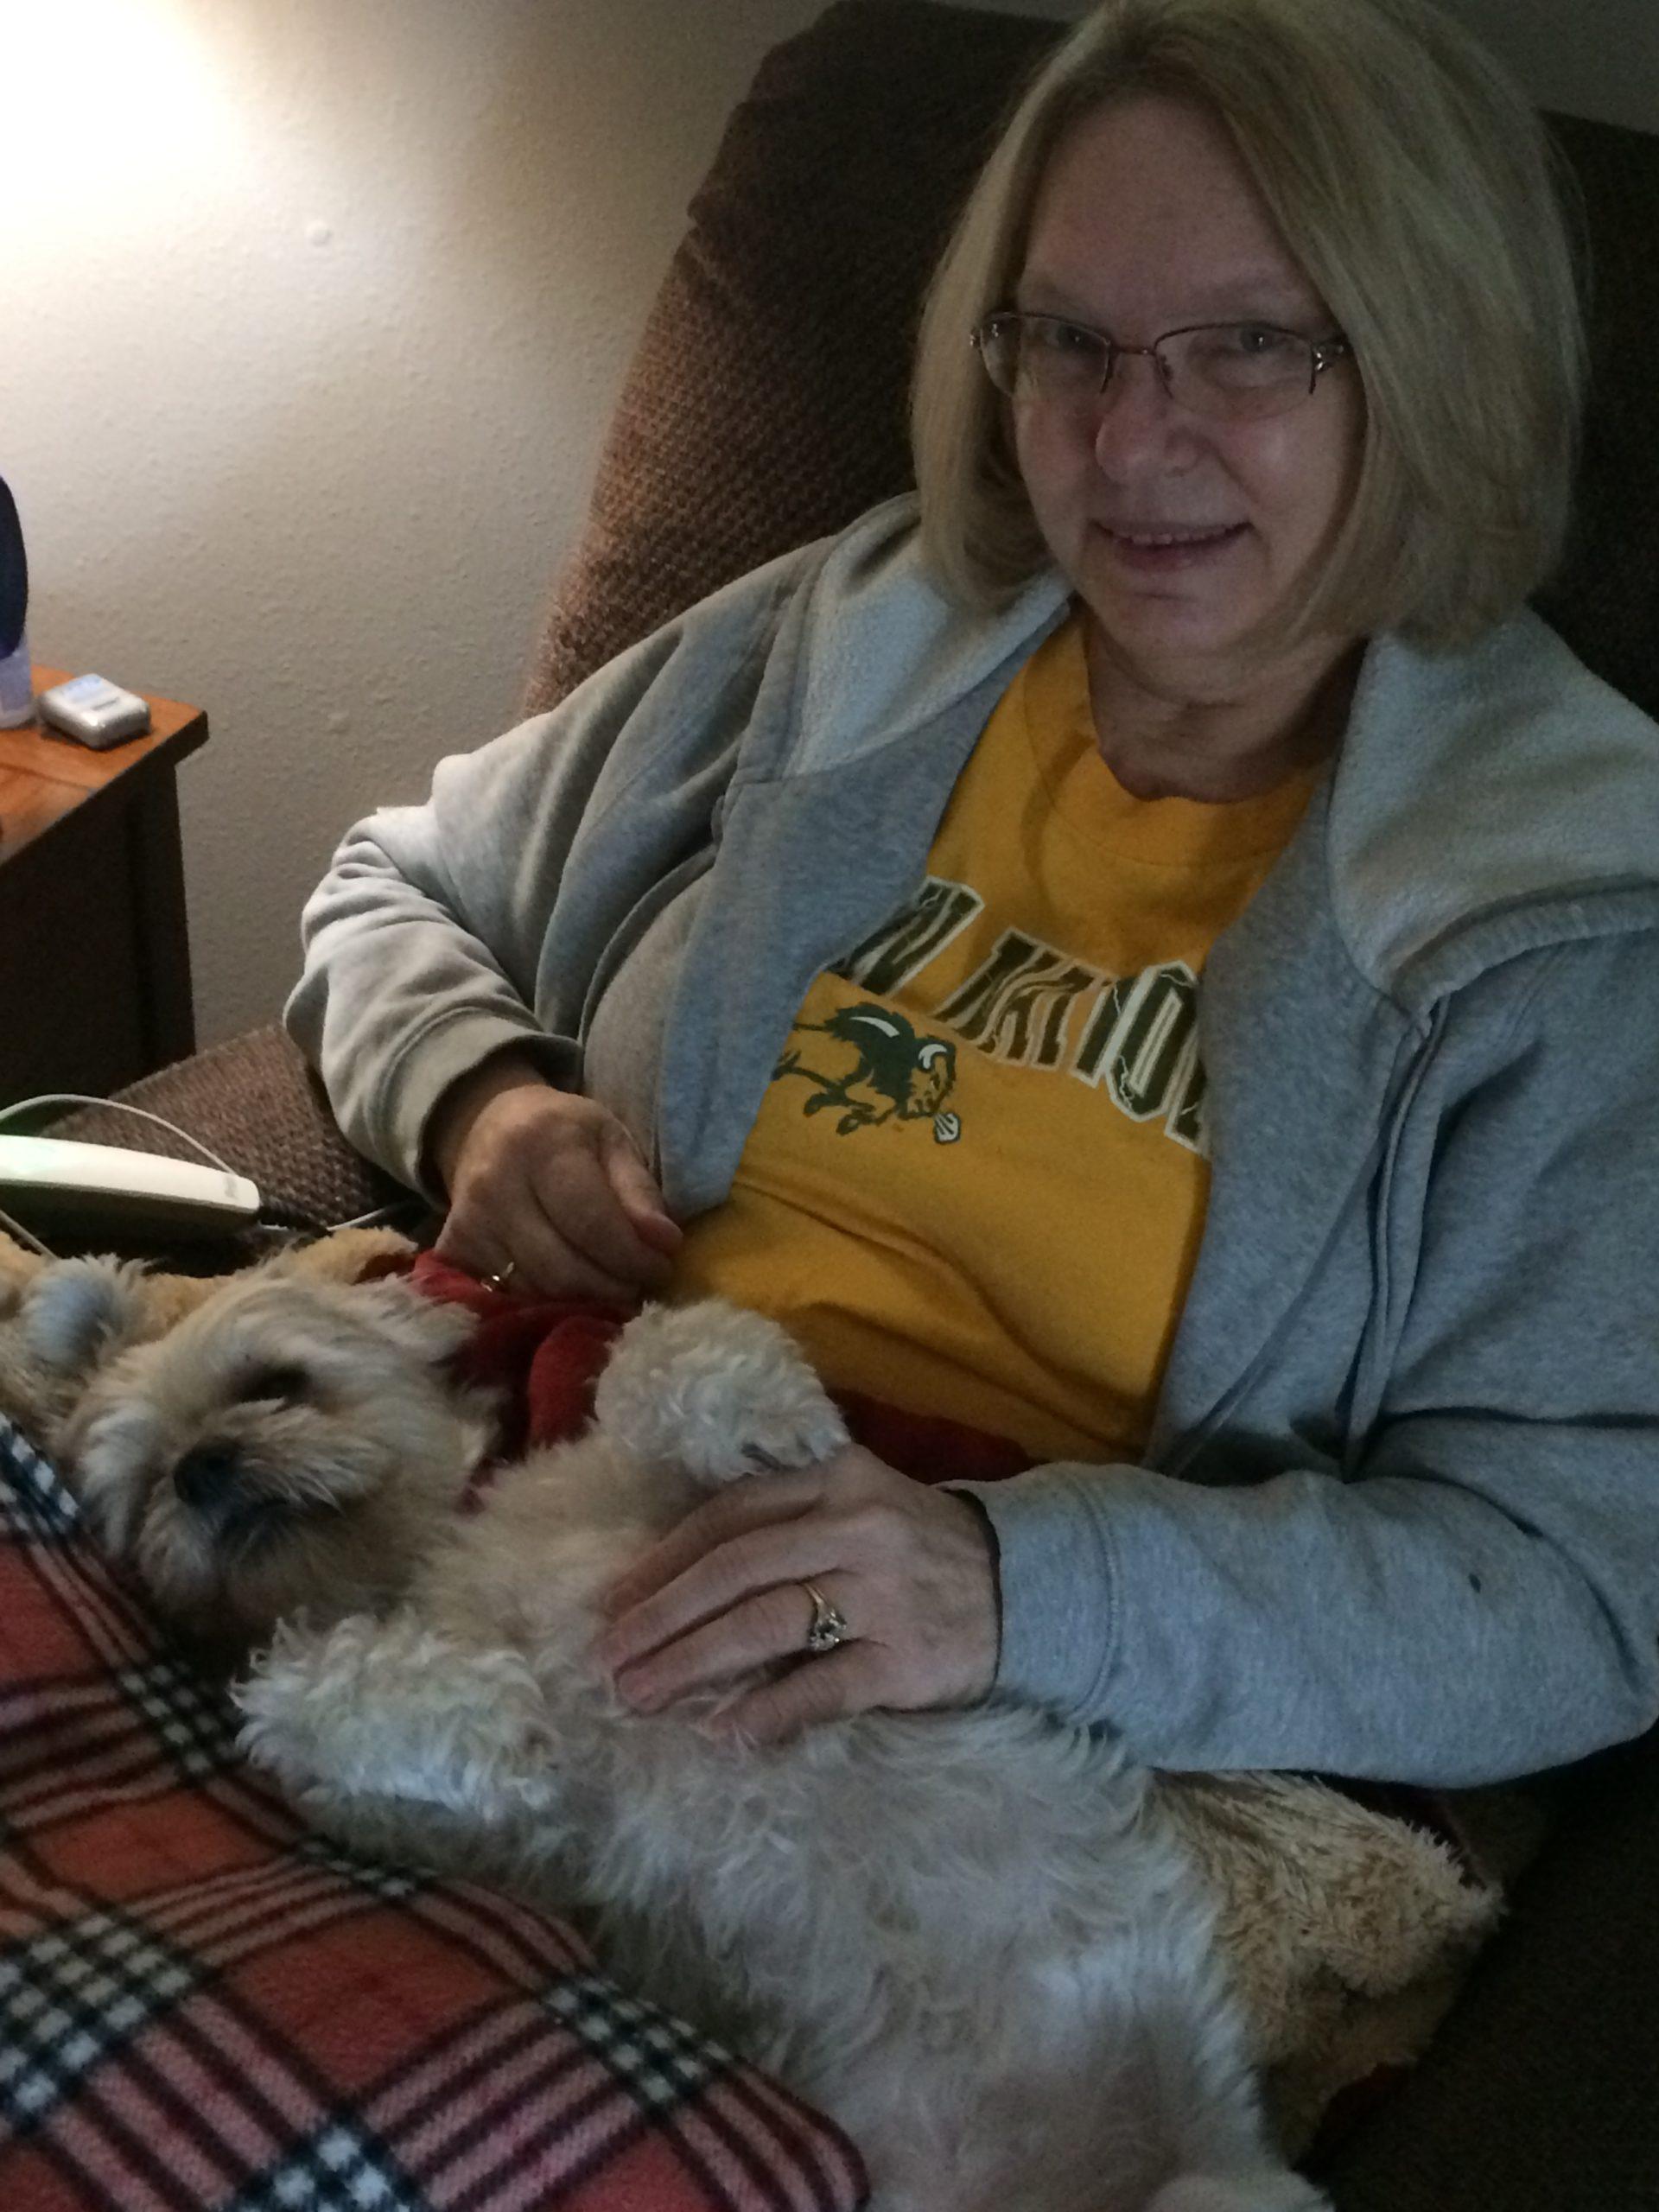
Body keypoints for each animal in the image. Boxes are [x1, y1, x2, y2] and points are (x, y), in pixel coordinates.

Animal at [32, 1265, 1336, 2212]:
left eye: (277, 1380)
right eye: (143, 1485)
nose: (202, 1469)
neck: (430, 1560)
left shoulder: (681, 1519)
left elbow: (659, 1356)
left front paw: (766, 1415)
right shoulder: (483, 1836)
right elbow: (303, 1697)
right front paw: (491, 1712)